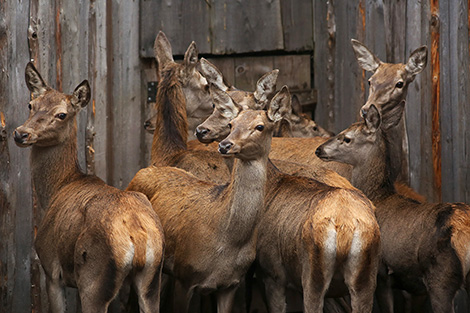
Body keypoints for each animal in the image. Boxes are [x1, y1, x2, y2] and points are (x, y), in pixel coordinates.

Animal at [13, 61, 165, 312]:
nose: (21, 133)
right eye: (31, 104)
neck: (57, 187)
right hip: (152, 280)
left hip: (93, 279)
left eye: (62, 114)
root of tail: (138, 236)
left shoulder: (51, 268)